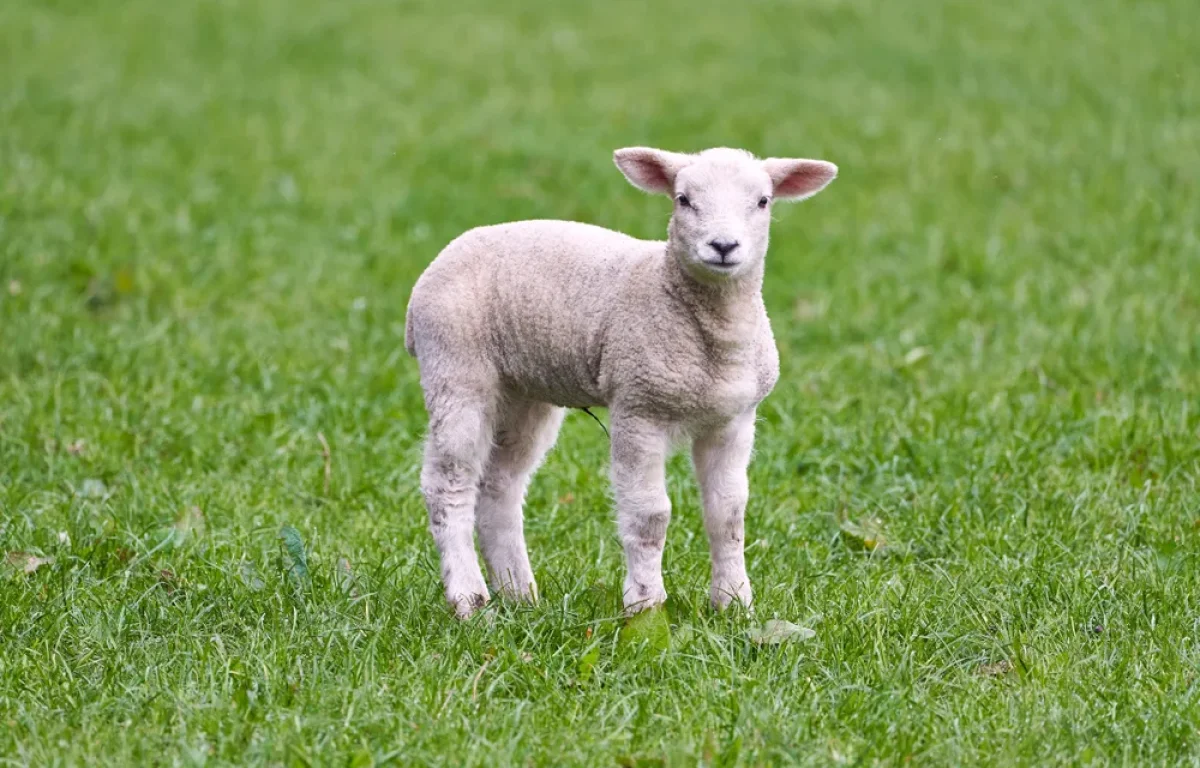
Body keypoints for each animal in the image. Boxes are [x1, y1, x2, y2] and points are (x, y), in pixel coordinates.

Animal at [403, 145, 835, 619]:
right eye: (683, 199)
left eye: (762, 201)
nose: (723, 246)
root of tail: (433, 267)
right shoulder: (639, 406)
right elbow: (650, 515)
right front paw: (645, 605)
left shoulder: (734, 420)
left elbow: (729, 514)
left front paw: (734, 604)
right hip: (455, 366)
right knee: (449, 484)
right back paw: (469, 600)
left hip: (523, 391)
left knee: (500, 487)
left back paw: (520, 594)